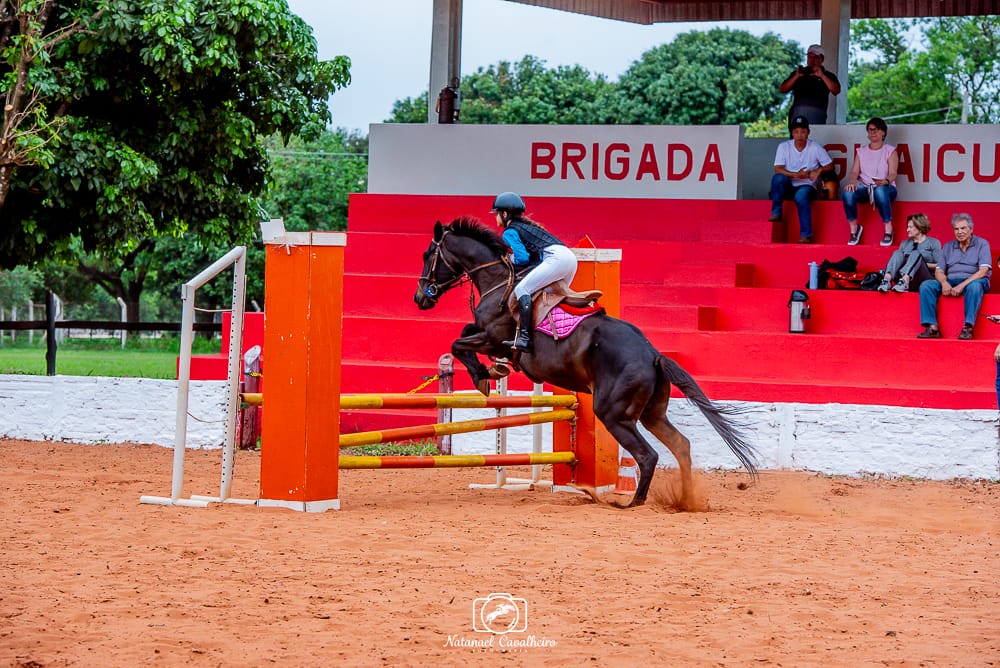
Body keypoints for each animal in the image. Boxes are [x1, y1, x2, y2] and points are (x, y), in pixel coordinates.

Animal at [416, 218, 756, 506]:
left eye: (427, 255)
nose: (421, 298)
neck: (498, 281)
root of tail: (654, 355)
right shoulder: (484, 333)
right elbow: (463, 335)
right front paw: (491, 370)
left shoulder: (494, 336)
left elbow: (459, 343)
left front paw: (484, 376)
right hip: (650, 413)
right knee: (681, 445)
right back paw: (684, 501)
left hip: (613, 414)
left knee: (648, 455)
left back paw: (631, 502)